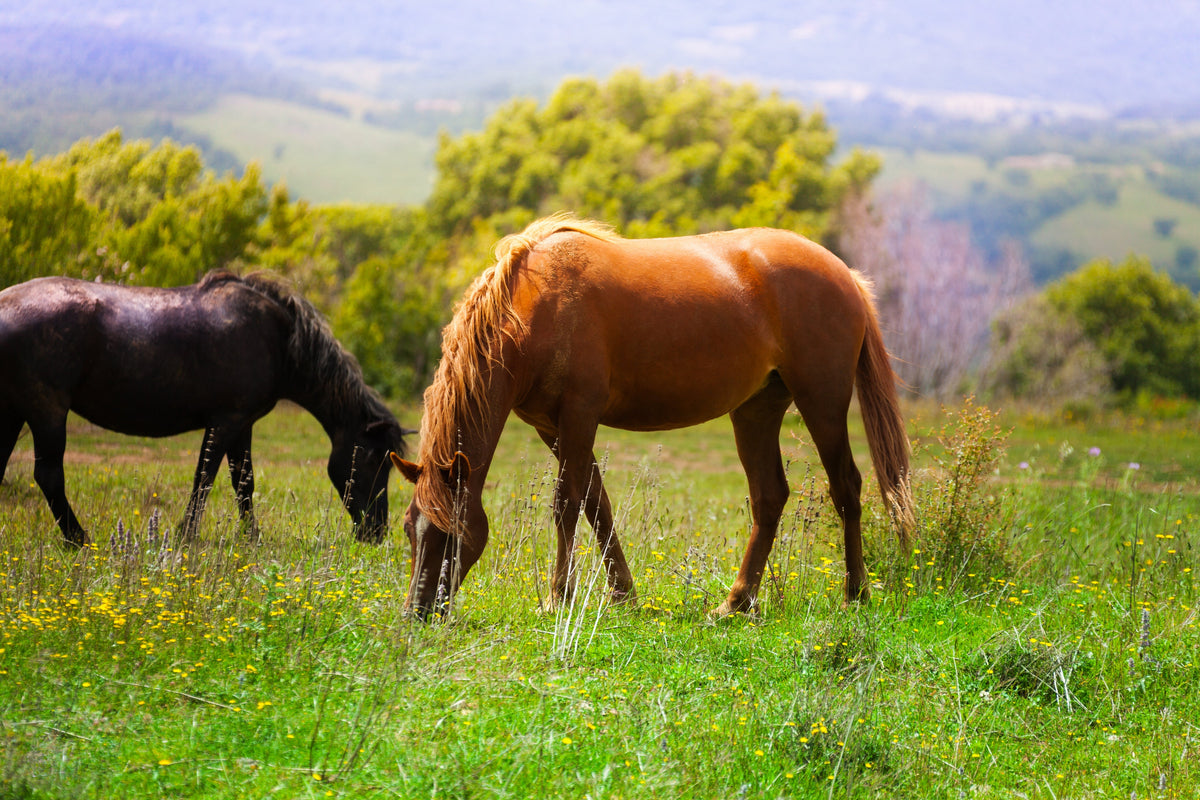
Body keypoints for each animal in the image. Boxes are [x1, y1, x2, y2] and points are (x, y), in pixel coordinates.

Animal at [0, 270, 408, 546]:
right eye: (373, 459)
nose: (376, 531)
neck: (277, 339)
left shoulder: (243, 425)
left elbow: (244, 481)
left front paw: (251, 537)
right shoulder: (226, 421)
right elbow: (205, 478)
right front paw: (188, 534)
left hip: (14, 412)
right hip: (47, 411)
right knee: (49, 475)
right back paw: (79, 539)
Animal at [391, 213, 913, 619]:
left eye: (451, 532)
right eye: (410, 528)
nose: (418, 611)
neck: (536, 307)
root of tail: (845, 273)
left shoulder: (578, 416)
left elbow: (567, 503)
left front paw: (559, 598)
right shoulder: (552, 429)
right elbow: (597, 505)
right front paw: (623, 593)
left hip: (822, 402)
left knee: (846, 488)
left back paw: (854, 595)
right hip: (756, 412)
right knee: (770, 498)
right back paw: (735, 603)